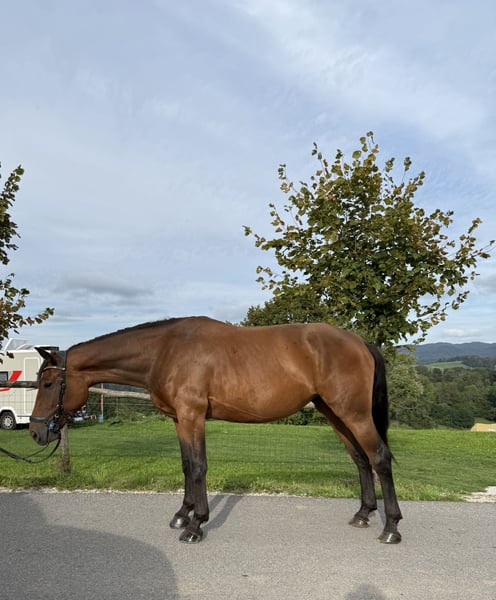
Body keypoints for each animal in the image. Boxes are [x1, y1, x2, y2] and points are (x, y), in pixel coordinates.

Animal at [29, 316, 402, 544]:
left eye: (48, 383)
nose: (36, 433)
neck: (165, 350)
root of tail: (359, 342)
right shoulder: (179, 419)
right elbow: (185, 466)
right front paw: (182, 515)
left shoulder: (192, 415)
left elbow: (198, 467)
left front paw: (196, 525)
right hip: (334, 413)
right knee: (360, 459)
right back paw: (363, 514)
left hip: (352, 413)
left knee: (379, 458)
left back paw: (391, 528)